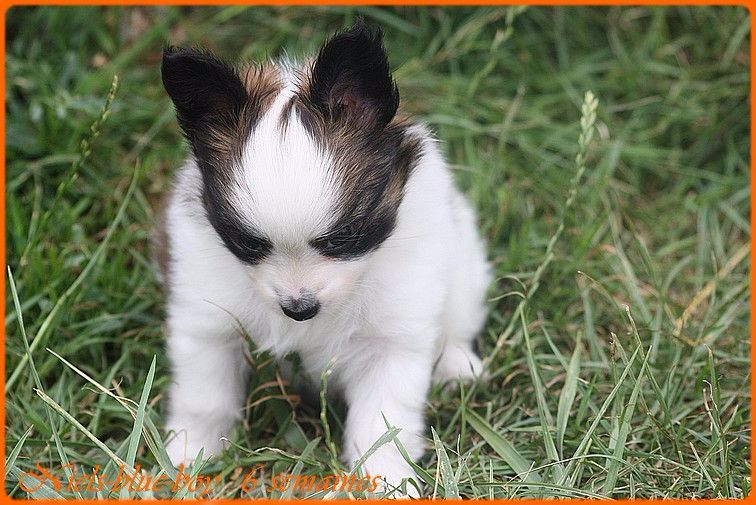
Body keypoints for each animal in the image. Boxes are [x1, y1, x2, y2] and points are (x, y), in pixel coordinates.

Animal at [157, 20, 491, 494]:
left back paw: (458, 365)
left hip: (463, 263)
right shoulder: (209, 325)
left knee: (458, 321)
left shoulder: (392, 342)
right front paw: (189, 458)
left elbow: (383, 425)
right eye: (248, 244)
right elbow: (205, 400)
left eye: (345, 237)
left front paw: (387, 483)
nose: (300, 308)